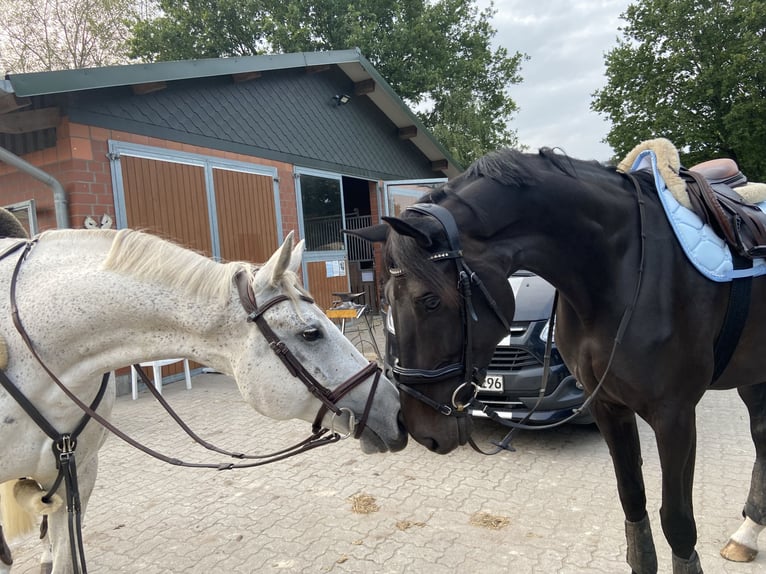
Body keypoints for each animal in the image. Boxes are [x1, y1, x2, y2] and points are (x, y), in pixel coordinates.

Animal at [349, 147, 766, 573]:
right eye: (387, 298)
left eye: (429, 300)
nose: (420, 430)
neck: (620, 269)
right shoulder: (608, 406)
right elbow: (634, 505)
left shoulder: (675, 416)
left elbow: (678, 524)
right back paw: (746, 536)